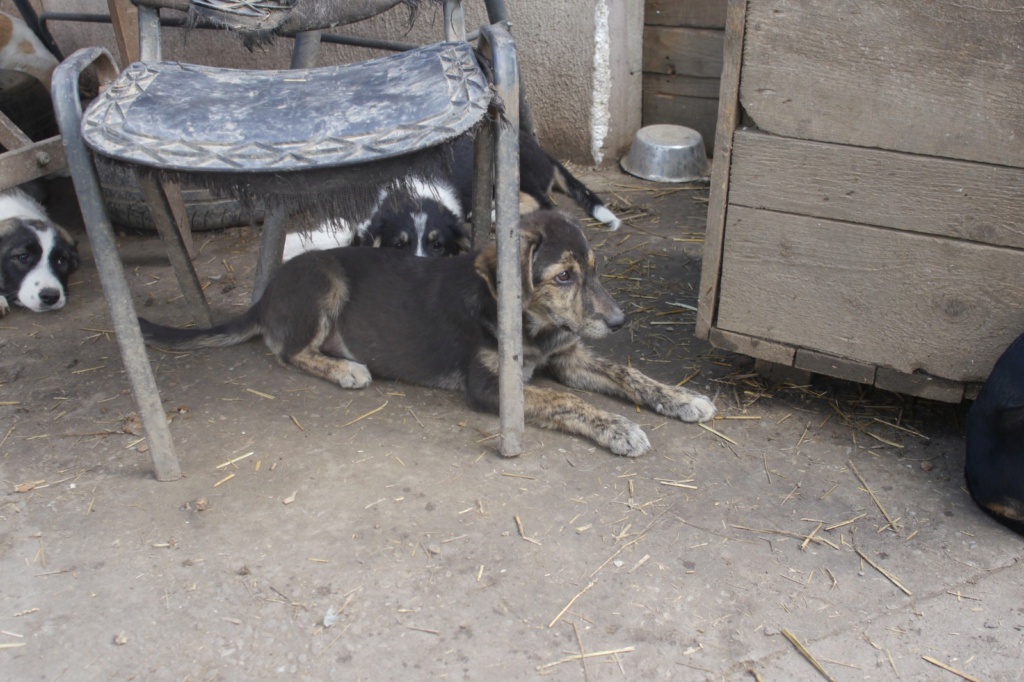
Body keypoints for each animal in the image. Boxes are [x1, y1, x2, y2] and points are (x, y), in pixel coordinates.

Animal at [142, 209, 712, 454]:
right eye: (563, 276)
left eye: (593, 270)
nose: (618, 321)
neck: (528, 324)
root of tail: (263, 296)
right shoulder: (490, 384)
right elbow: (567, 401)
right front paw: (618, 428)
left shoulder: (568, 356)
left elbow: (626, 372)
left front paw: (682, 398)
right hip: (324, 282)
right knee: (290, 352)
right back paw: (345, 368)